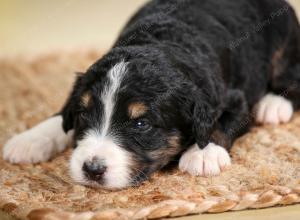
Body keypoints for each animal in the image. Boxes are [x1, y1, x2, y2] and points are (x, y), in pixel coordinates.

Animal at [2, 0, 300, 189]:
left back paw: (273, 105)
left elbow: (222, 124)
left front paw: (203, 154)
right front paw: (31, 139)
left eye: (141, 124)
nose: (92, 169)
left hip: (285, 42)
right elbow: (63, 114)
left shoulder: (234, 97)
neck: (158, 44)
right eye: (84, 115)